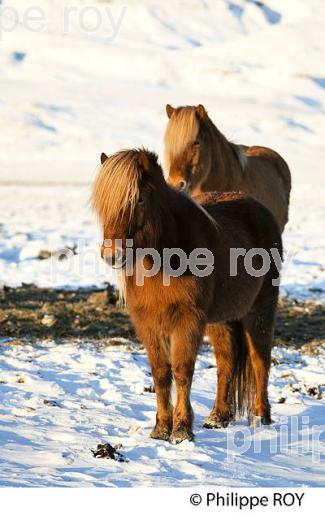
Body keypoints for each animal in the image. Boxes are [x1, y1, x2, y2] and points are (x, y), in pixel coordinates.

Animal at [92, 148, 280, 444]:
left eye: (139, 199)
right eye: (103, 205)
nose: (112, 255)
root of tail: (260, 210)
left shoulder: (188, 320)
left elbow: (181, 372)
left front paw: (181, 431)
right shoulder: (147, 323)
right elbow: (160, 374)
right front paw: (160, 428)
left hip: (260, 309)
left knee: (260, 359)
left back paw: (261, 417)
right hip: (222, 320)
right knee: (226, 362)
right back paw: (218, 417)